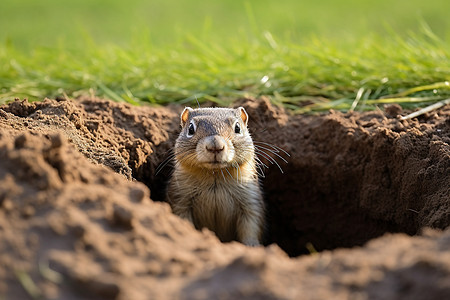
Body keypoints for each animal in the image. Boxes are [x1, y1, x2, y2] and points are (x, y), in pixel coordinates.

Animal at [167, 105, 266, 246]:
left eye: (237, 128)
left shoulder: (251, 200)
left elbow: (251, 226)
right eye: (190, 129)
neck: (216, 175)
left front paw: (252, 245)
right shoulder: (180, 199)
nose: (215, 145)